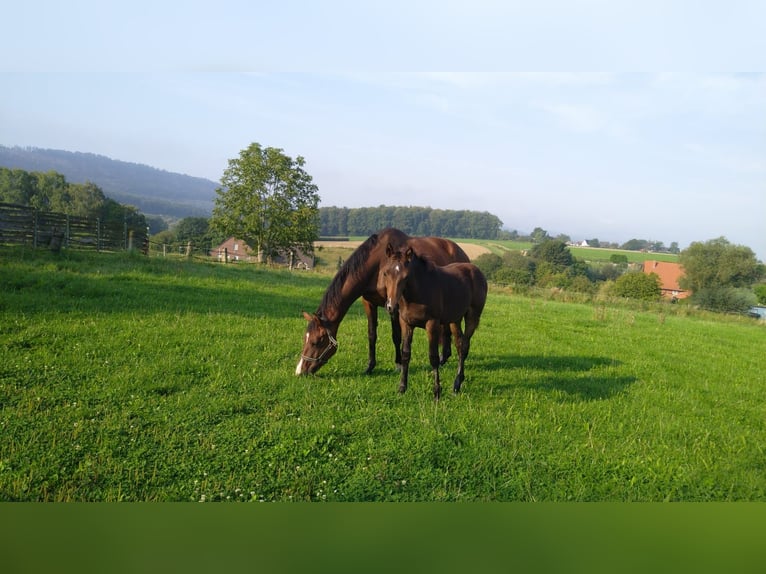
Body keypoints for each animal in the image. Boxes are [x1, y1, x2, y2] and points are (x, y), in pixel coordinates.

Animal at [296, 230, 472, 378]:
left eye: (317, 341)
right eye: (305, 338)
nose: (300, 371)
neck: (378, 264)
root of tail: (461, 252)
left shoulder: (394, 306)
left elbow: (396, 335)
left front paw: (399, 364)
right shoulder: (369, 302)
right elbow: (371, 334)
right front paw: (370, 367)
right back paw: (444, 358)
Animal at [380, 244, 488, 400]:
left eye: (406, 276)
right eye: (385, 273)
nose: (391, 306)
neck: (418, 293)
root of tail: (477, 271)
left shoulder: (432, 324)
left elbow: (433, 357)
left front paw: (437, 392)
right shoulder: (406, 323)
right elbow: (405, 354)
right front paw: (402, 388)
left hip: (472, 316)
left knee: (465, 346)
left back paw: (457, 383)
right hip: (454, 319)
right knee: (459, 343)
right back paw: (457, 384)